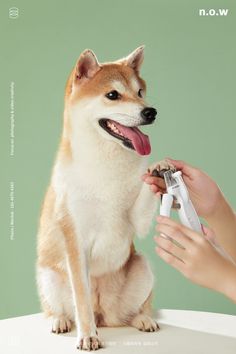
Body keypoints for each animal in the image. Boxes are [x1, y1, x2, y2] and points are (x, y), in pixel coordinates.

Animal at [37, 47, 161, 352]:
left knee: (130, 312)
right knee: (59, 309)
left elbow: (144, 195)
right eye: (112, 95)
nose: (150, 111)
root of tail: (103, 314)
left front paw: (158, 170)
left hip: (141, 266)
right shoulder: (75, 240)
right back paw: (61, 321)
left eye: (140, 92)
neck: (106, 165)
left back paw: (142, 319)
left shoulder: (136, 220)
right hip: (47, 275)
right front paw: (87, 336)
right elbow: (81, 301)